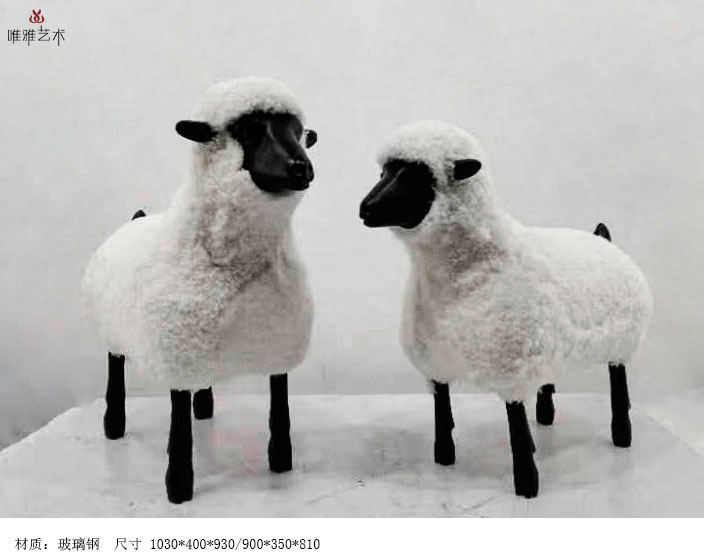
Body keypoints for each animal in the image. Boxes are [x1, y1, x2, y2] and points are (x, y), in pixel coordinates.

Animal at [82, 77, 318, 503]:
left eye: (299, 133)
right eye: (248, 131)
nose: (301, 167)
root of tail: (134, 220)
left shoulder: (277, 345)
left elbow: (280, 410)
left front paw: (280, 462)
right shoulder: (175, 355)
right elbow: (179, 427)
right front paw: (178, 484)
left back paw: (204, 406)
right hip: (115, 334)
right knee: (115, 370)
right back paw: (114, 424)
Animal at [359, 120, 653, 498]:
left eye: (415, 177)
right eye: (384, 172)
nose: (365, 209)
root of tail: (603, 239)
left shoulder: (511, 370)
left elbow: (517, 430)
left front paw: (527, 482)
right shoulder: (438, 363)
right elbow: (442, 412)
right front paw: (444, 457)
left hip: (619, 344)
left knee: (619, 386)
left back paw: (622, 435)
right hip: (546, 346)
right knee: (547, 382)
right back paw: (545, 416)